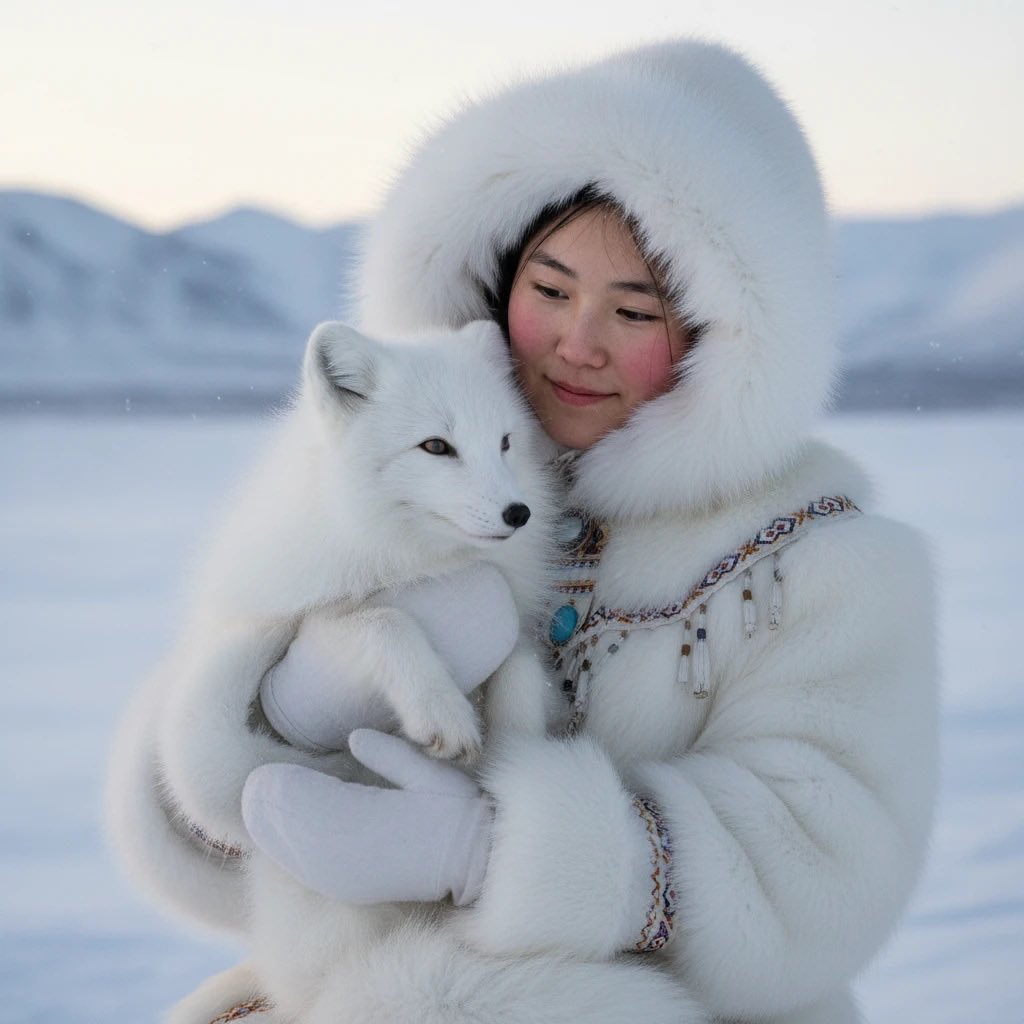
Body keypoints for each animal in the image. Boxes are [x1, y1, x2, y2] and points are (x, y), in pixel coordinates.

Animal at [106, 319, 557, 1023]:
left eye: (507, 442)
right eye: (437, 446)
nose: (518, 513)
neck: (417, 559)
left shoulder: (510, 612)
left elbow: (519, 663)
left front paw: (511, 745)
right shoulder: (316, 615)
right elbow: (382, 620)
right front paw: (442, 713)